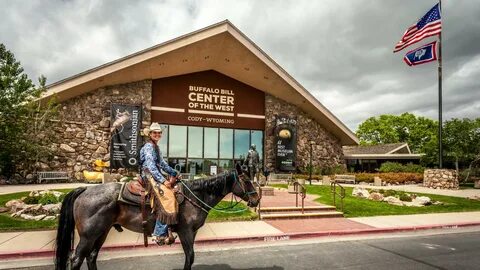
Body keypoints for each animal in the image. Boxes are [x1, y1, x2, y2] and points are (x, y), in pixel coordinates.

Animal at [54, 163, 260, 270]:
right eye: (246, 180)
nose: (256, 199)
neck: (196, 195)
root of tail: (84, 189)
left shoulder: (191, 233)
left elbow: (189, 257)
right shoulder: (185, 231)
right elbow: (190, 256)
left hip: (101, 232)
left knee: (91, 257)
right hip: (88, 235)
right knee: (77, 260)